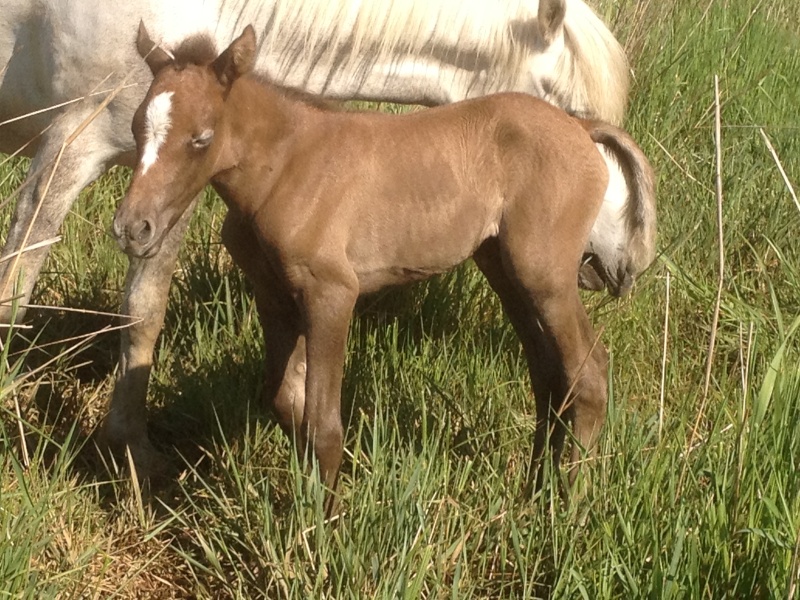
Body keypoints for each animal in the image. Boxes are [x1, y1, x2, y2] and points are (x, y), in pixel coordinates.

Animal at [0, 1, 636, 478]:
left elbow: (145, 310)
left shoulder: (174, 194)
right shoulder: (73, 142)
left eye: (201, 138)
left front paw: (132, 451)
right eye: (574, 107)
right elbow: (16, 288)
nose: (619, 263)